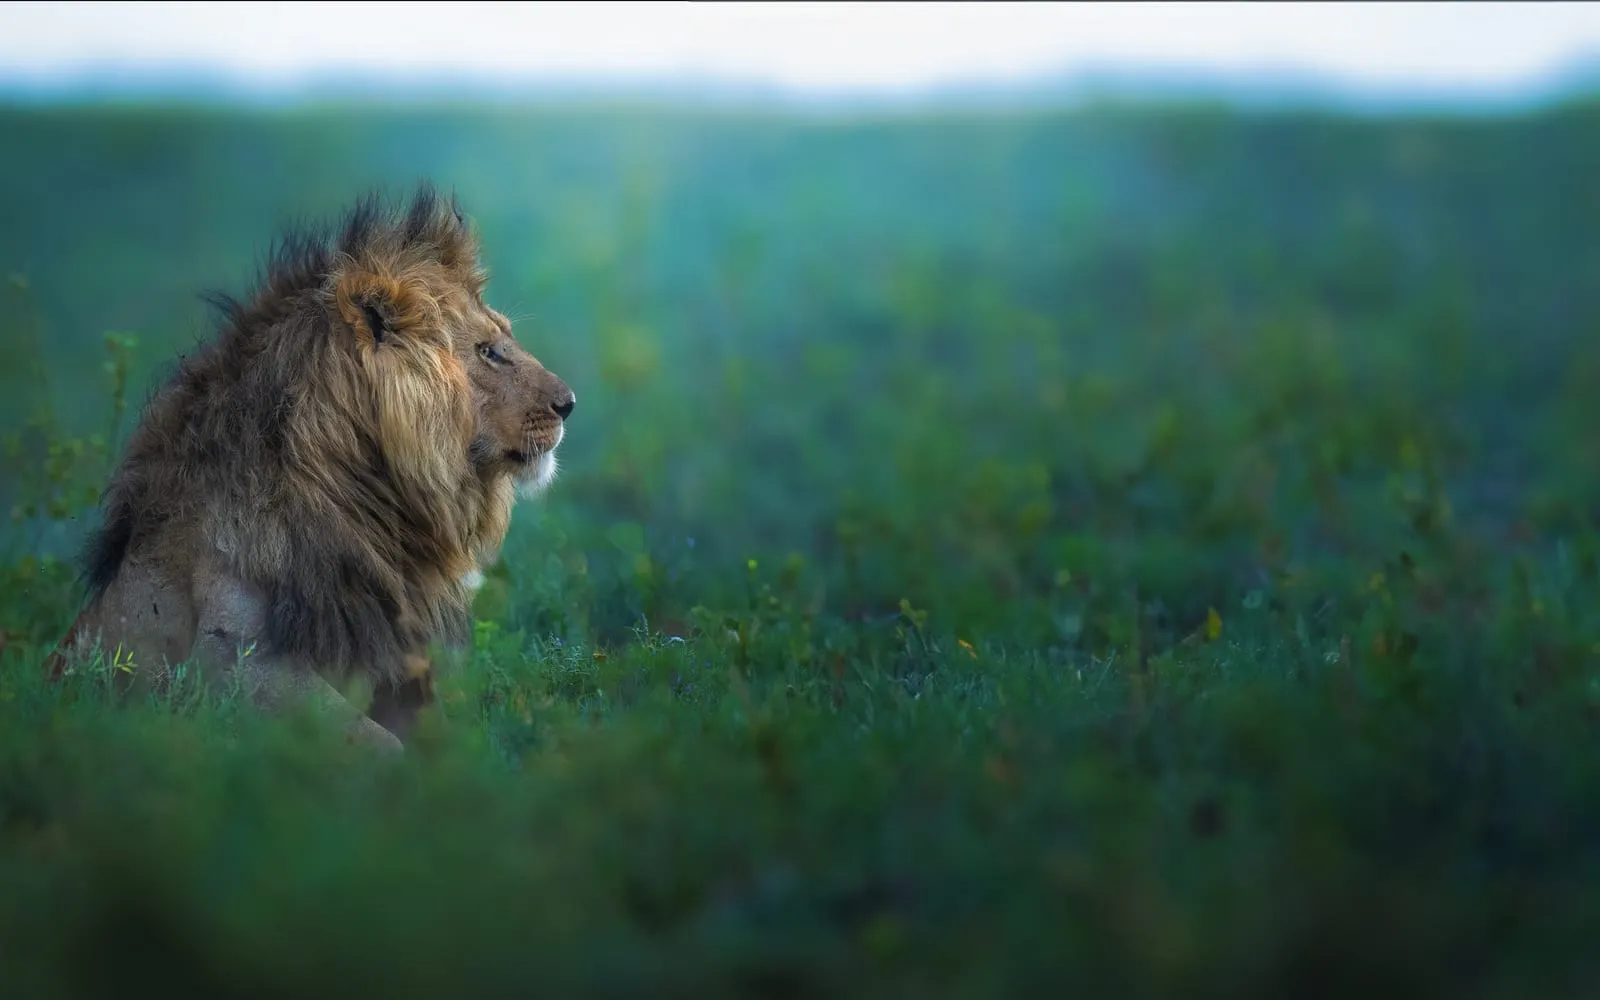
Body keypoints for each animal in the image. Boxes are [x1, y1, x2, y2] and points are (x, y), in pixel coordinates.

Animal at [44, 184, 575, 752]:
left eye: (503, 339)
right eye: (488, 352)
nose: (569, 404)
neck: (369, 502)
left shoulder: (396, 659)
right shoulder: (226, 661)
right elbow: (379, 744)